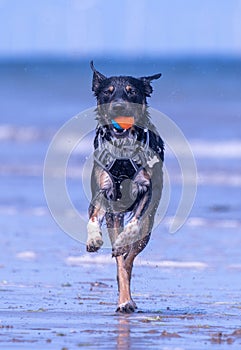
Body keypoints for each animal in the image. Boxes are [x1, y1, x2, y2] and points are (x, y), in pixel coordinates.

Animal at [86, 61, 164, 314]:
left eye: (131, 91)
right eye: (108, 92)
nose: (119, 105)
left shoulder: (147, 190)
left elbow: (135, 221)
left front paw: (124, 240)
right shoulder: (104, 190)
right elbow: (94, 214)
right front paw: (93, 239)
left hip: (148, 228)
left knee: (130, 256)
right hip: (114, 217)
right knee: (121, 263)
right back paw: (124, 300)